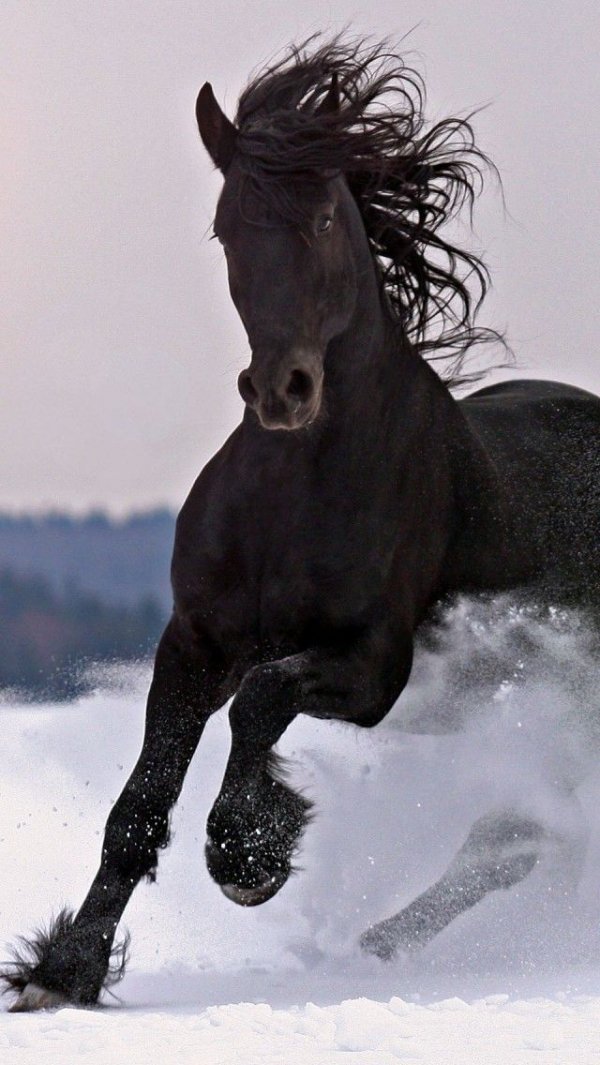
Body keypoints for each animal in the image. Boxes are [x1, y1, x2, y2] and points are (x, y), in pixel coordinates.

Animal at [5, 37, 600, 1009]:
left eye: (323, 218)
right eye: (225, 228)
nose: (283, 390)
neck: (295, 492)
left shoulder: (374, 667)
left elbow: (261, 699)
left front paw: (250, 853)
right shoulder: (195, 641)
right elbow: (139, 804)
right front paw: (64, 970)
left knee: (515, 834)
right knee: (517, 833)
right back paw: (376, 943)